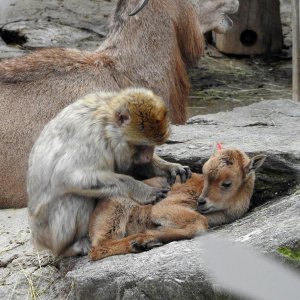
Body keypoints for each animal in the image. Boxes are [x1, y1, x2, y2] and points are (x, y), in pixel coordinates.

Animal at [25, 88, 190, 256]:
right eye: (142, 145)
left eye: (153, 145)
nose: (148, 156)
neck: (107, 125)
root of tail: (37, 239)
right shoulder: (91, 138)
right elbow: (66, 177)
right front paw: (143, 190)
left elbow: (137, 166)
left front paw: (171, 167)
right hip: (49, 235)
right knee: (75, 197)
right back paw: (71, 247)